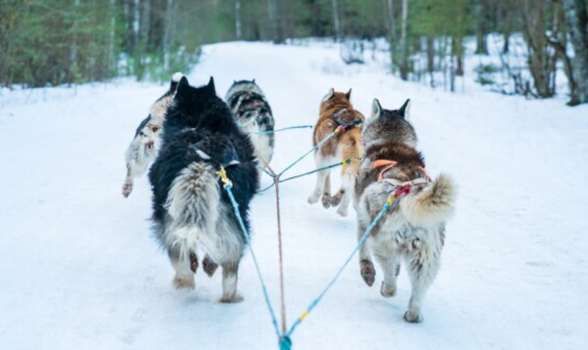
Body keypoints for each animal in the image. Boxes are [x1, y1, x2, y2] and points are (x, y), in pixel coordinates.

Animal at [308, 87, 362, 216]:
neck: (339, 105)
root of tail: (351, 126)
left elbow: (326, 179)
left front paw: (326, 198)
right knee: (349, 185)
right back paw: (342, 208)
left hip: (322, 158)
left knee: (320, 182)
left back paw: (314, 198)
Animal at [354, 98, 454, 322]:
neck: (392, 140)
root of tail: (411, 197)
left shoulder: (363, 218)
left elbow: (362, 250)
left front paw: (367, 271)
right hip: (426, 259)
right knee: (417, 294)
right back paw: (413, 315)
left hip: (383, 245)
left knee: (391, 283)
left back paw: (386, 288)